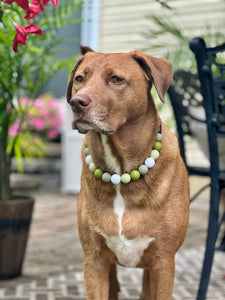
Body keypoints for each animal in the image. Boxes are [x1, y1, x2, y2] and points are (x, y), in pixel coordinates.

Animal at [66, 47, 189, 300]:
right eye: (79, 79)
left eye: (116, 79)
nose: (76, 102)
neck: (121, 172)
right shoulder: (94, 260)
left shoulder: (163, 262)